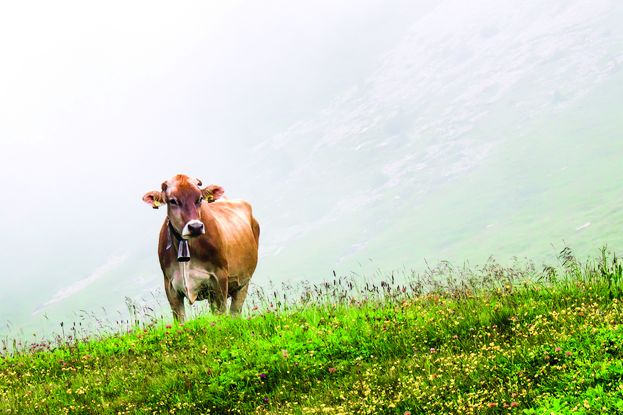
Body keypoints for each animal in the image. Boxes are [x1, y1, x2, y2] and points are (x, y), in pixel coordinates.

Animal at [142, 174, 259, 322]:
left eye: (200, 198)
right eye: (173, 201)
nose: (195, 227)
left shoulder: (220, 278)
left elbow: (221, 314)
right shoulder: (170, 286)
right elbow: (180, 320)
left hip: (243, 282)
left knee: (235, 312)